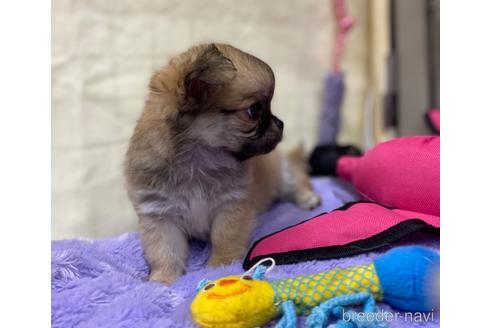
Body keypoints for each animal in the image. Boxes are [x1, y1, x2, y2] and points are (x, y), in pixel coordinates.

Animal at [125, 43, 320, 284]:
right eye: (254, 110)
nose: (281, 123)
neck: (195, 165)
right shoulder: (160, 217)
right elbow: (164, 252)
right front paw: (163, 280)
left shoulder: (230, 207)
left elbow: (224, 238)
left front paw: (221, 266)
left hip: (283, 174)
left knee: (297, 179)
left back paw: (307, 198)